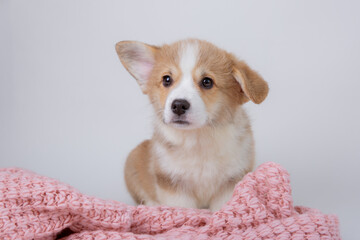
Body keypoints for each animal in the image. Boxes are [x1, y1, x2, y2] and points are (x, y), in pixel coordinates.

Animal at [114, 38, 268, 211]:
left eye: (207, 82)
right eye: (166, 79)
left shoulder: (230, 183)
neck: (198, 138)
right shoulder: (173, 185)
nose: (178, 105)